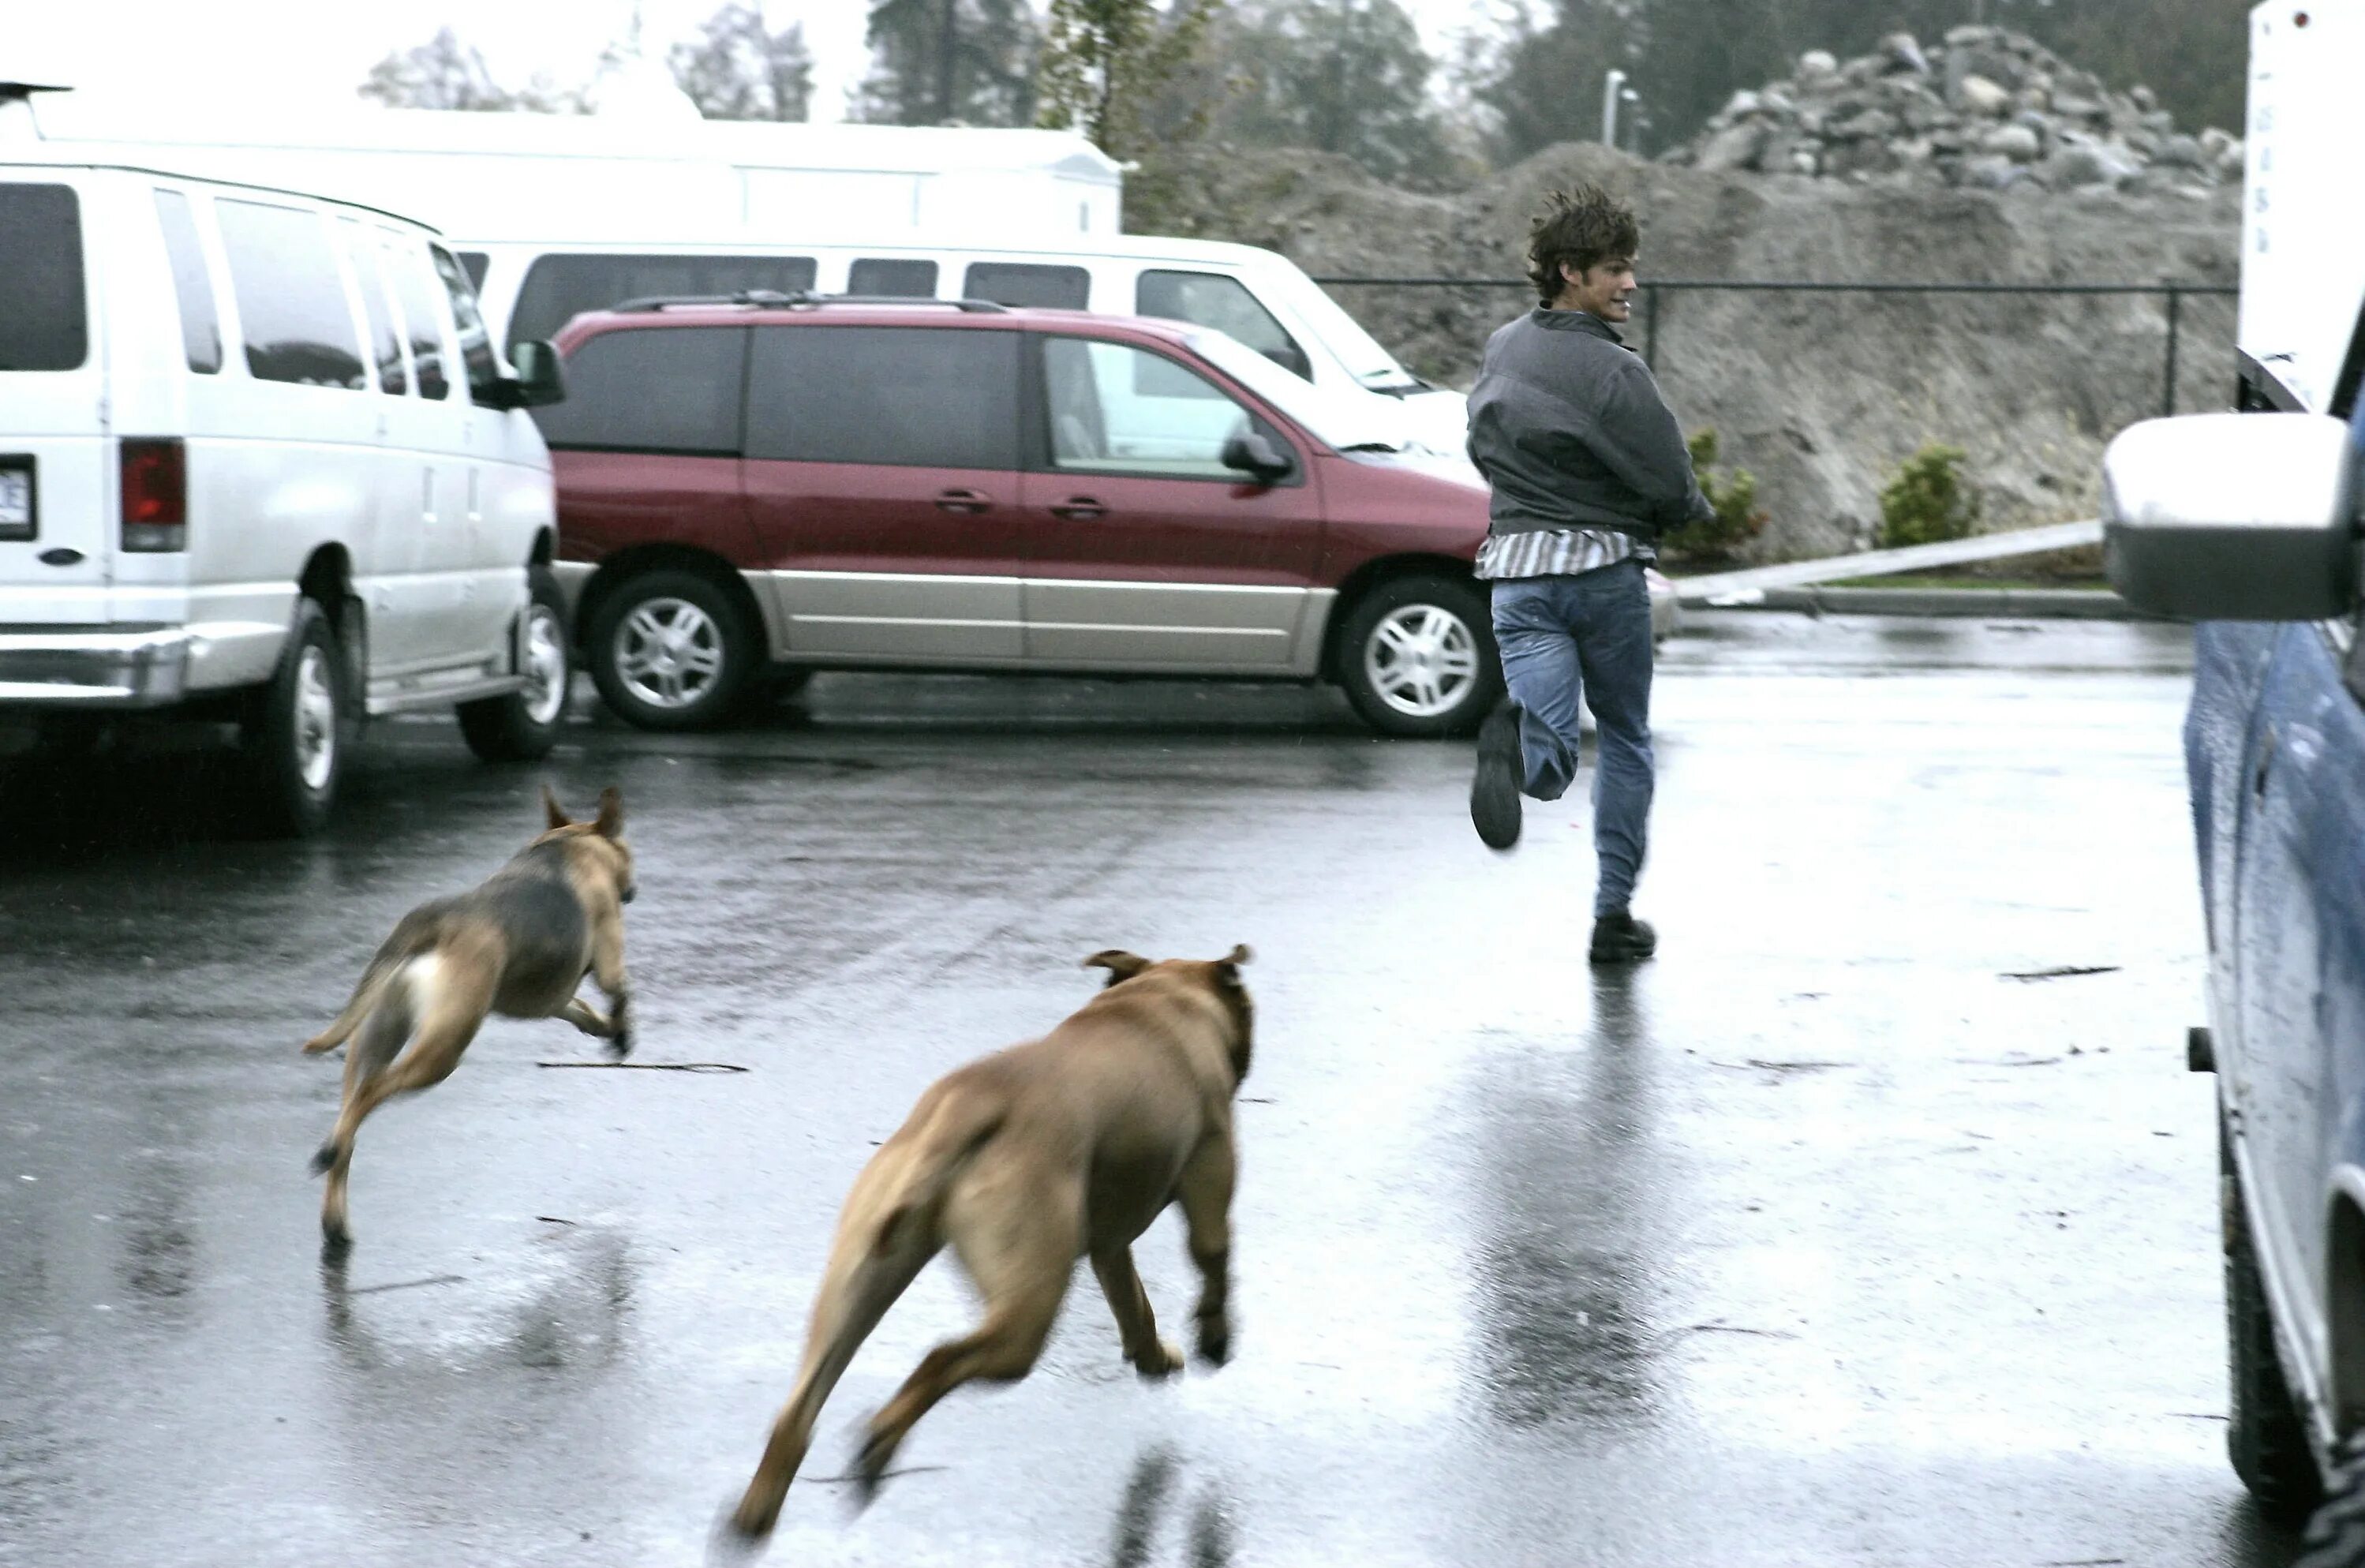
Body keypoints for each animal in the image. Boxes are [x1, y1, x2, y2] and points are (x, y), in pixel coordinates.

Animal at [300, 789, 643, 1258]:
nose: (633, 888)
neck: (570, 844)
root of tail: (434, 922)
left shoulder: (552, 999)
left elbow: (584, 1010)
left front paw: (608, 1030)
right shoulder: (608, 954)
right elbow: (620, 991)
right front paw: (623, 1032)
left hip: (375, 1036)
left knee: (351, 1112)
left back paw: (334, 1201)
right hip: (442, 1051)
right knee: (370, 1094)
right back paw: (332, 1155)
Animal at [724, 945, 1258, 1542]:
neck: (1163, 995)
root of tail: (964, 1110)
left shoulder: (1109, 1243)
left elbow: (1133, 1301)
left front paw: (1152, 1355)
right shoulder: (1211, 1173)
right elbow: (1213, 1259)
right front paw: (1214, 1338)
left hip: (860, 1284)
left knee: (801, 1404)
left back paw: (758, 1511)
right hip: (1025, 1313)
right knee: (940, 1359)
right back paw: (879, 1443)